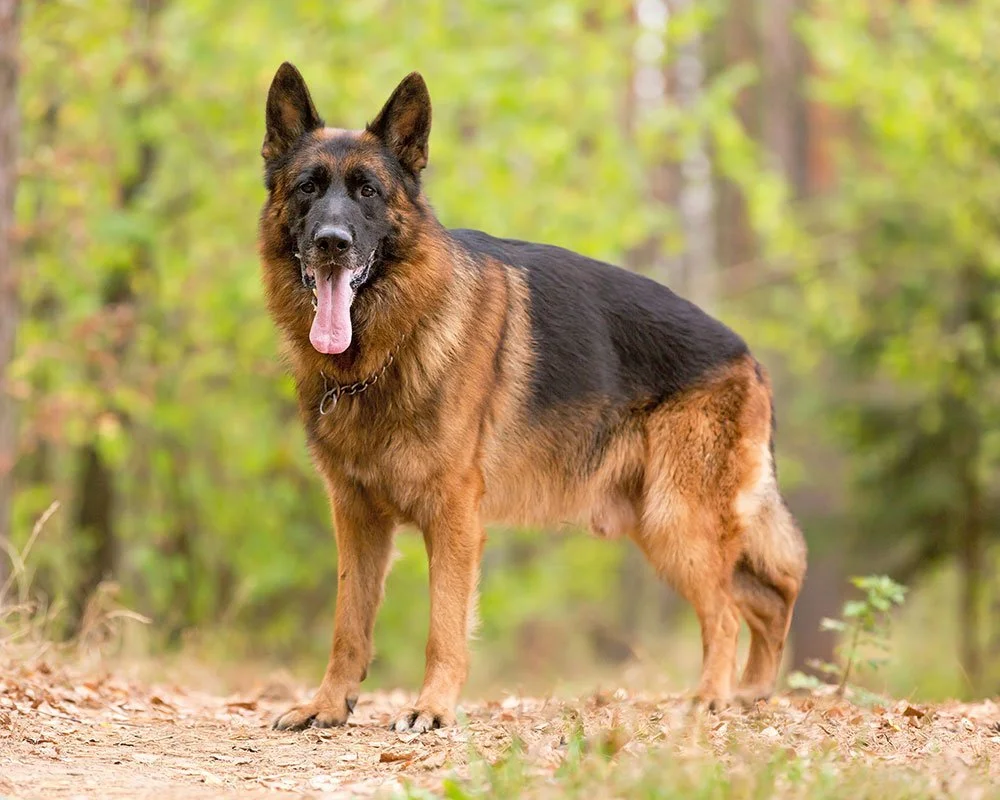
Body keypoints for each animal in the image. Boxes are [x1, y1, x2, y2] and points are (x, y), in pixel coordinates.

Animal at [258, 65, 804, 736]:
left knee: (728, 610)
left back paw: (710, 698)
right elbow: (348, 626)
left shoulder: (454, 518)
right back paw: (751, 693)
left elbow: (444, 627)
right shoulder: (357, 518)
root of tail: (747, 354)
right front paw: (330, 704)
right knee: (767, 596)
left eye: (367, 191)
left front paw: (432, 707)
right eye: (308, 188)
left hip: (677, 522)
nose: (331, 243)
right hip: (660, 526)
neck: (385, 351)